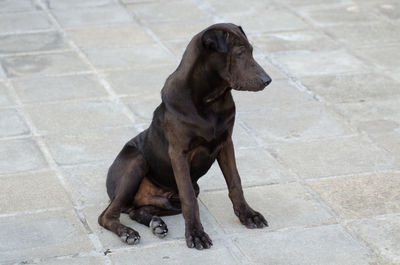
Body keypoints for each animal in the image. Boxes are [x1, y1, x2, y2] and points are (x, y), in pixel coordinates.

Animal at [98, 23, 270, 250]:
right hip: (136, 163)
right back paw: (127, 232)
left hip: (170, 199)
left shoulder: (226, 143)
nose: (267, 80)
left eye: (251, 51)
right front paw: (196, 234)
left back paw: (156, 224)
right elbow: (189, 198)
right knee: (106, 216)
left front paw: (248, 215)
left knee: (138, 210)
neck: (210, 100)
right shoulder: (179, 153)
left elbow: (235, 181)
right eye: (240, 53)